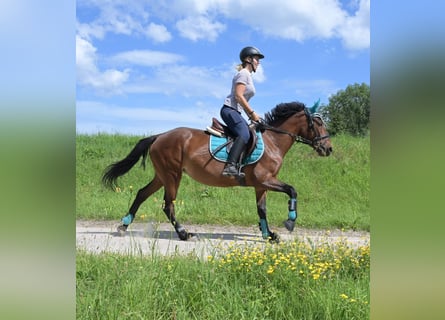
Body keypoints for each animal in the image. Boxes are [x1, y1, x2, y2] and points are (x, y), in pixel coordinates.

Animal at [100, 101, 330, 241]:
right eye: (318, 123)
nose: (328, 149)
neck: (274, 140)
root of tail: (159, 136)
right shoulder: (266, 179)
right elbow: (292, 190)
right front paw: (290, 221)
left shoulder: (260, 185)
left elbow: (262, 210)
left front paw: (269, 234)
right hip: (173, 175)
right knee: (168, 204)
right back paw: (183, 233)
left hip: (162, 175)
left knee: (142, 194)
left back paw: (123, 226)